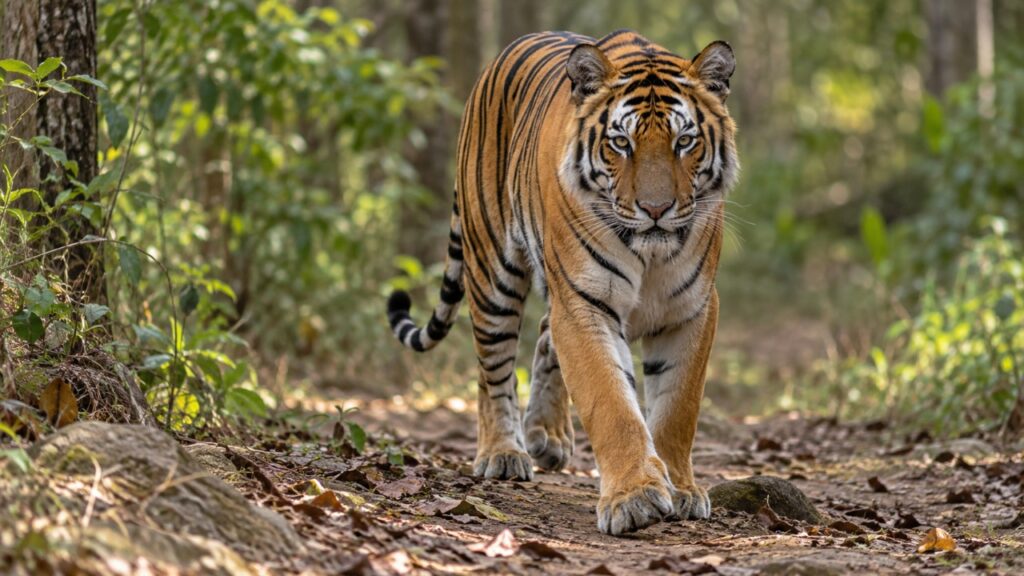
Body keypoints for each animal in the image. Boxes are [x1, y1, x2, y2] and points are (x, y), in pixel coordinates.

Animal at [386, 29, 738, 535]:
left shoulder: (692, 308)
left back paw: (546, 436)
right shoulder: (584, 301)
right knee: (492, 368)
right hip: (492, 271)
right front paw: (635, 498)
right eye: (621, 142)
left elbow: (678, 408)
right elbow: (610, 402)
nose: (655, 209)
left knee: (543, 335)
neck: (650, 253)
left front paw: (683, 489)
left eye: (684, 141)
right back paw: (502, 453)